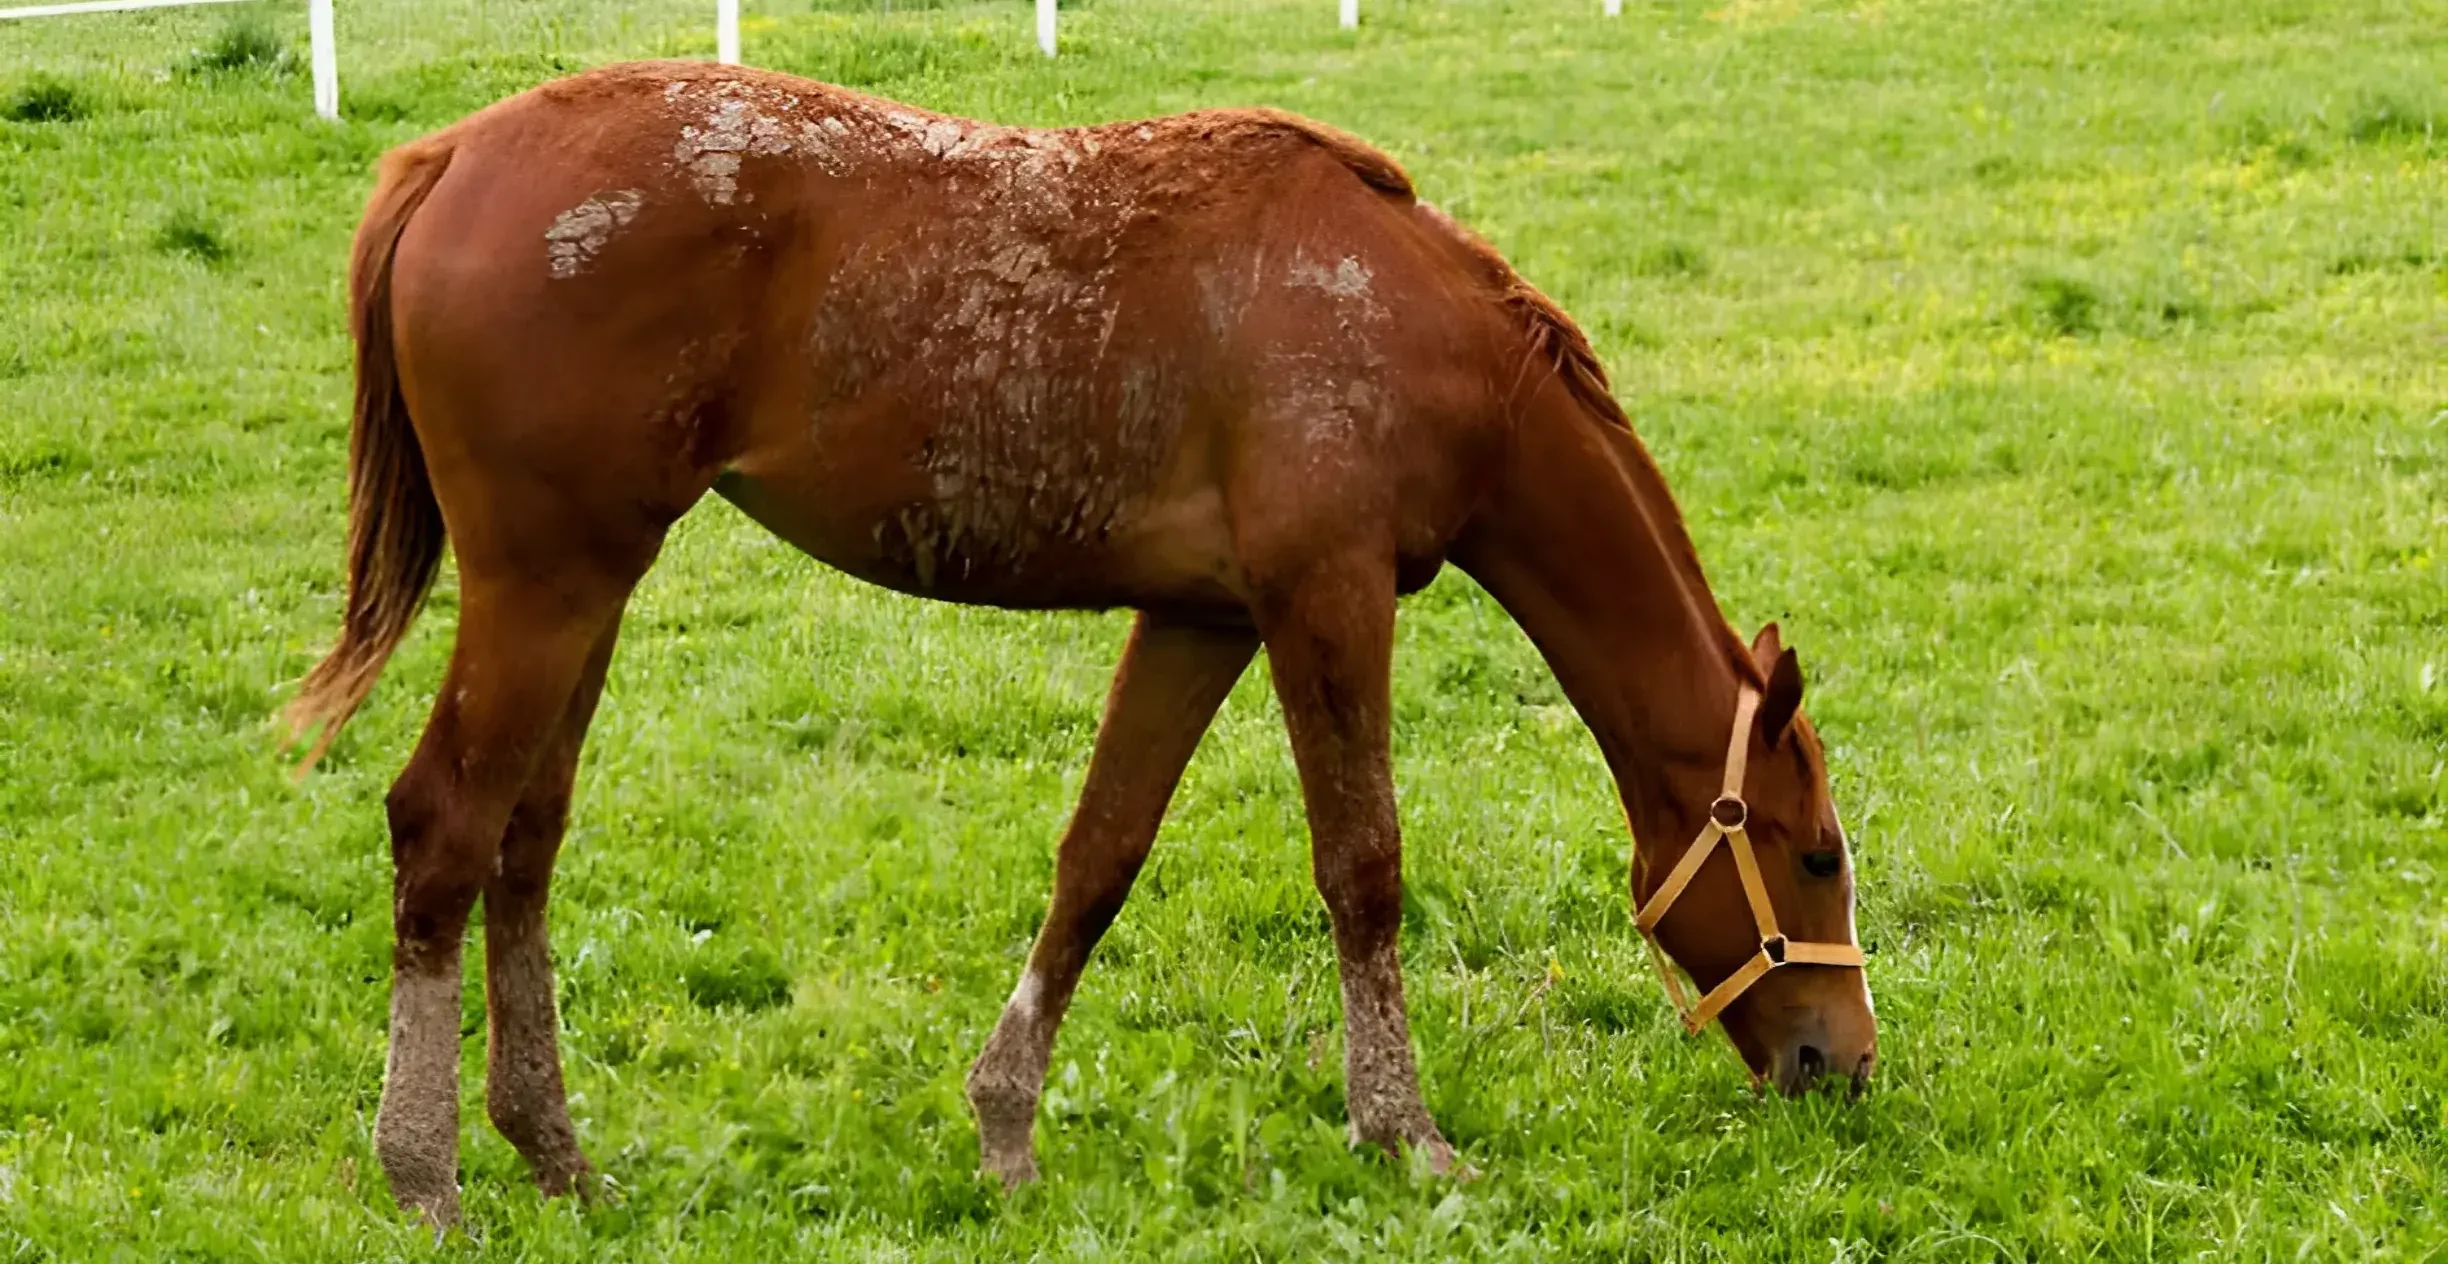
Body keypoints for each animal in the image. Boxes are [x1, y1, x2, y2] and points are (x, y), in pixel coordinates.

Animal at [291, 59, 1870, 1224]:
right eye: (1816, 857)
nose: (1839, 1064)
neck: (1414, 326)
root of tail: (450, 158)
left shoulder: (1203, 618)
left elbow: (1099, 857)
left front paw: (1003, 1127)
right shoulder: (1329, 600)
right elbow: (1363, 870)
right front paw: (1404, 1130)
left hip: (589, 594)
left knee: (524, 843)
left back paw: (553, 1151)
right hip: (544, 588)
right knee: (442, 827)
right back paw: (423, 1173)